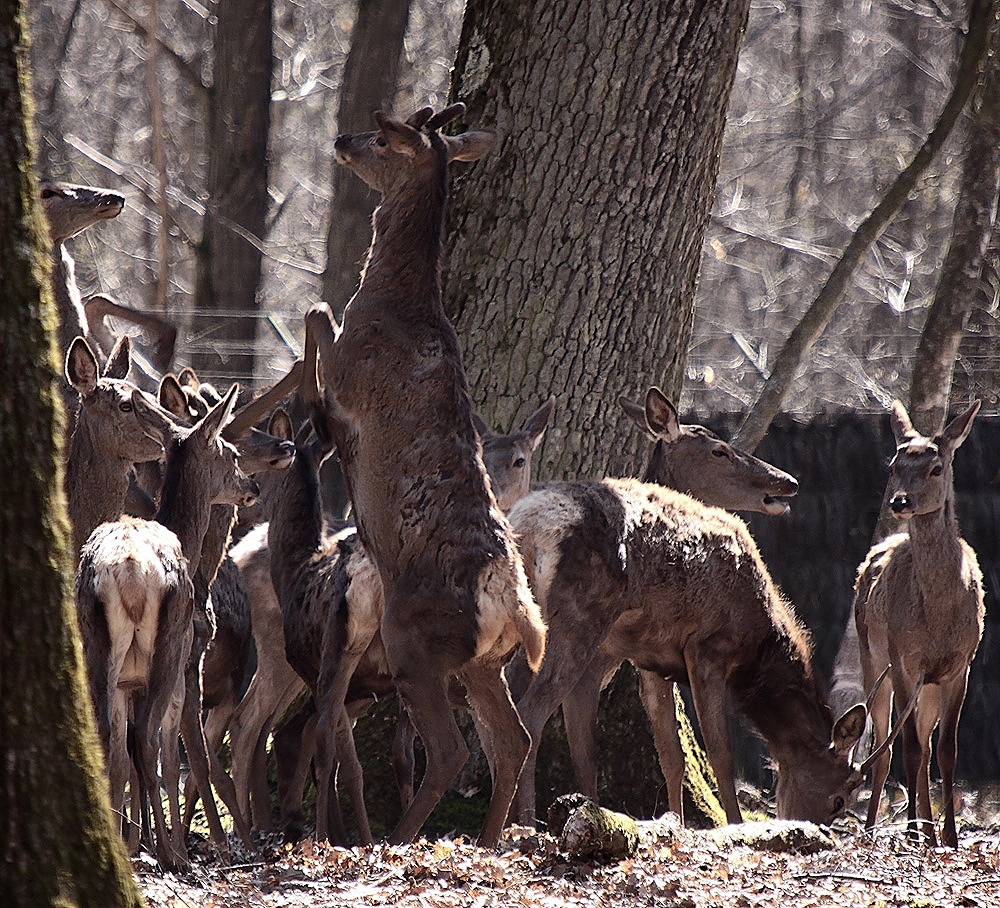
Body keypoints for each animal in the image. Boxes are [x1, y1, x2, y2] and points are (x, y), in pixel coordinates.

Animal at [76, 382, 260, 864]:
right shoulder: (183, 667)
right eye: (232, 453)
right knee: (150, 739)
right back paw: (168, 853)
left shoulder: (127, 684)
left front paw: (132, 839)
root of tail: (128, 566)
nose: (252, 486)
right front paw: (172, 843)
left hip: (99, 643)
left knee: (108, 736)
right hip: (167, 646)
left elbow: (125, 757)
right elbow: (174, 751)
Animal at [304, 99, 548, 844]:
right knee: (513, 742)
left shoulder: (348, 374)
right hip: (485, 661)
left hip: (415, 640)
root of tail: (515, 606)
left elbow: (317, 313)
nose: (341, 138)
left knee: (450, 750)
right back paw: (493, 842)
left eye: (384, 140)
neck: (396, 301)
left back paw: (397, 838)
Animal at [508, 476, 876, 828]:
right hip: (578, 617)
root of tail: (529, 525)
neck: (756, 644)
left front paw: (677, 822)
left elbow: (670, 755)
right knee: (529, 716)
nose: (818, 829)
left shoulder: (651, 659)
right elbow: (720, 753)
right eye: (838, 799)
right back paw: (525, 822)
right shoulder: (708, 648)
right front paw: (734, 824)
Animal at [852, 400, 984, 848]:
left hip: (928, 682)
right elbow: (906, 748)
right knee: (886, 745)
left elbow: (947, 750)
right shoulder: (904, 659)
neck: (939, 618)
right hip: (873, 658)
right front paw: (911, 831)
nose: (899, 502)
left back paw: (927, 828)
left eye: (936, 467)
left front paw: (951, 837)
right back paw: (876, 826)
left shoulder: (961, 664)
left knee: (925, 745)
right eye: (894, 465)